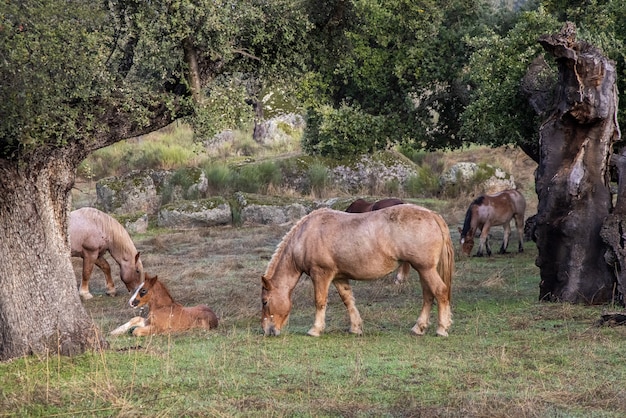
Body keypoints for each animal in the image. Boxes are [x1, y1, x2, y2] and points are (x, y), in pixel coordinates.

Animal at [260, 204, 454, 338]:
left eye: (265, 301)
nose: (267, 331)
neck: (306, 236)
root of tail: (432, 215)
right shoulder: (338, 277)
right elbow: (348, 300)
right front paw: (355, 327)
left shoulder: (321, 274)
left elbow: (320, 301)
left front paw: (315, 329)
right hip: (423, 271)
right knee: (428, 295)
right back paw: (418, 328)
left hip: (425, 269)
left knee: (440, 291)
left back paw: (442, 329)